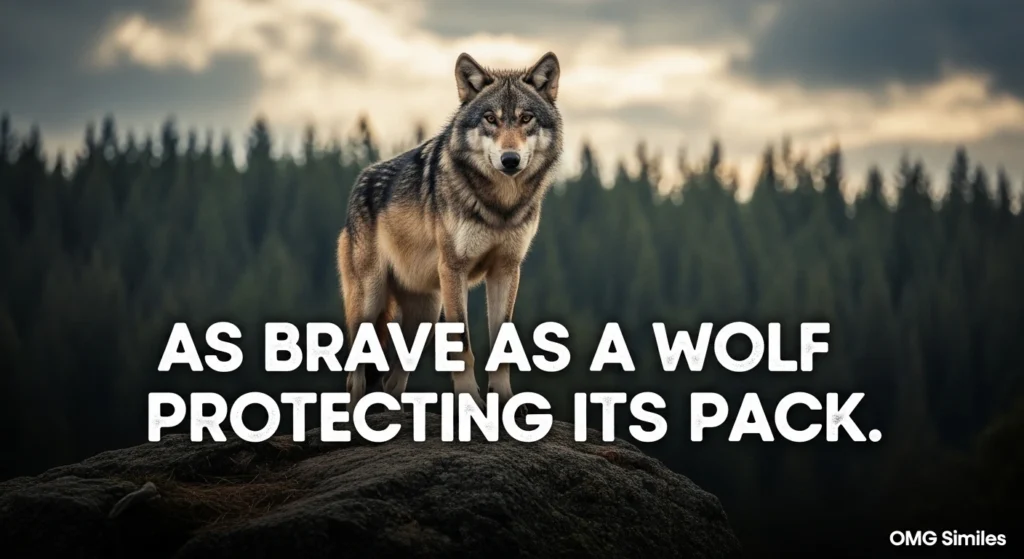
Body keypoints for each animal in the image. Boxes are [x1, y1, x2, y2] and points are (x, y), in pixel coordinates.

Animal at [336, 52, 563, 412]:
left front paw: (506, 401)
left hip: (426, 315)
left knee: (392, 378)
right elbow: (463, 345)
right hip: (371, 300)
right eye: (490, 118)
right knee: (355, 373)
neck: (500, 205)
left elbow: (503, 347)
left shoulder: (506, 270)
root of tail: (361, 182)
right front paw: (470, 400)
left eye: (526, 118)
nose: (510, 159)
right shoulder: (454, 269)